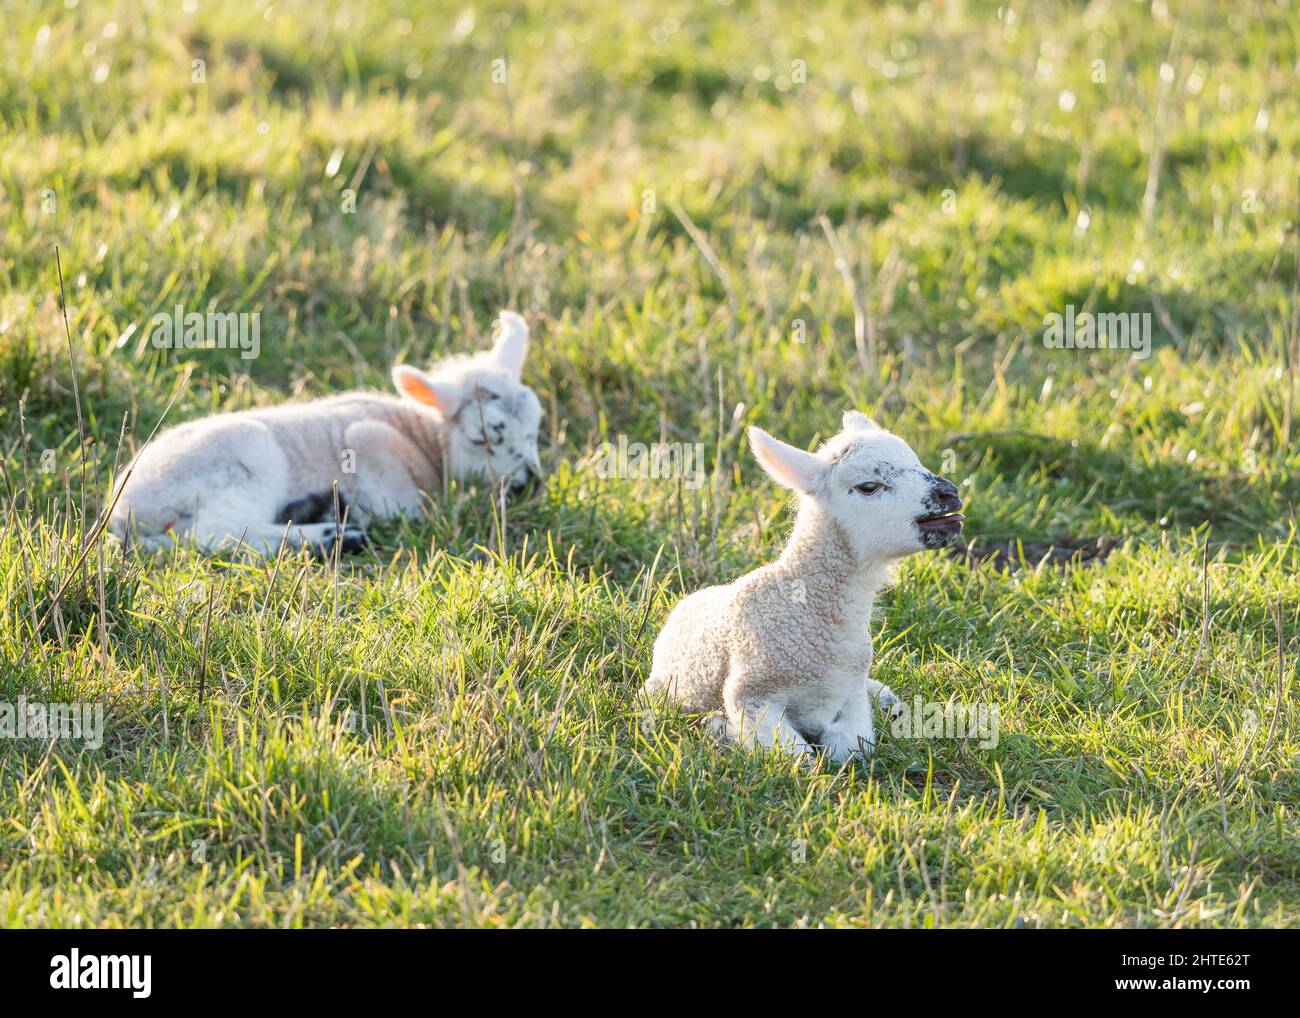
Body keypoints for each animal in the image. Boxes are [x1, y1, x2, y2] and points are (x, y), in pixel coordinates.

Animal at [105, 312, 543, 556]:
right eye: (481, 440)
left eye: (536, 428)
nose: (530, 485)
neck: (422, 436)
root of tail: (124, 510)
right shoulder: (374, 457)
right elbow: (403, 511)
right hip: (247, 460)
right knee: (217, 532)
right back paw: (334, 536)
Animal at [647, 410, 967, 759]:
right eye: (868, 486)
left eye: (917, 462)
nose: (950, 494)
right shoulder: (750, 693)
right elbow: (797, 756)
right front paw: (723, 728)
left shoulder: (850, 691)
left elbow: (852, 748)